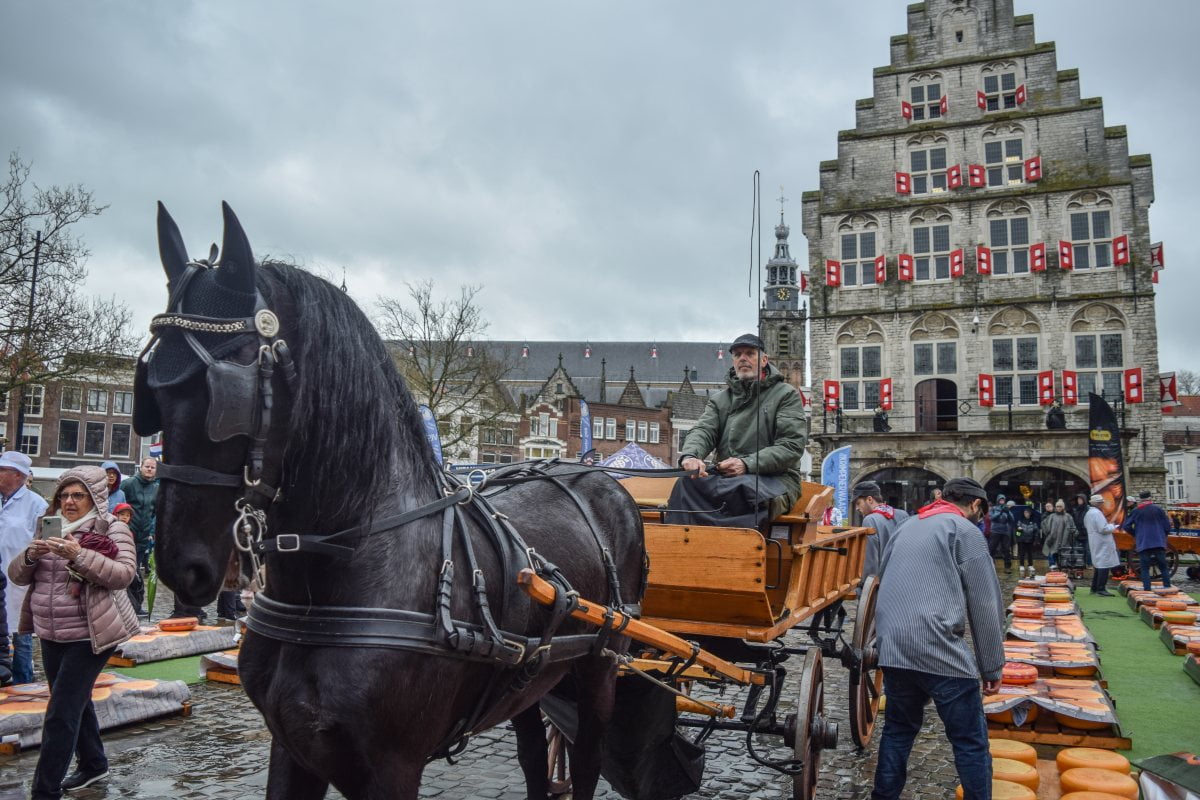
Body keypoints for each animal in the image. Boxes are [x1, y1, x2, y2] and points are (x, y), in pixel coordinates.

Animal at [137, 205, 648, 800]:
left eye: (228, 390)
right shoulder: (291, 747)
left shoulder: (394, 766)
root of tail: (598, 476)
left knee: (587, 760)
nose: (183, 565)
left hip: (601, 668)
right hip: (529, 677)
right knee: (532, 758)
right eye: (150, 388)